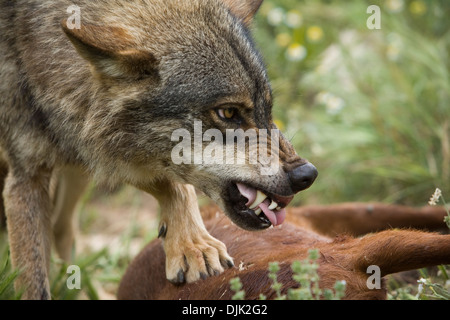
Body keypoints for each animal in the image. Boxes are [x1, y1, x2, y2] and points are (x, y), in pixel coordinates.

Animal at [0, 0, 316, 300]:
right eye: (228, 112)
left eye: (268, 109)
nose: (307, 174)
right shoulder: (26, 178)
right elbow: (33, 281)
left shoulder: (98, 146)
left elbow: (176, 184)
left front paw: (192, 243)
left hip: (78, 169)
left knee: (61, 227)